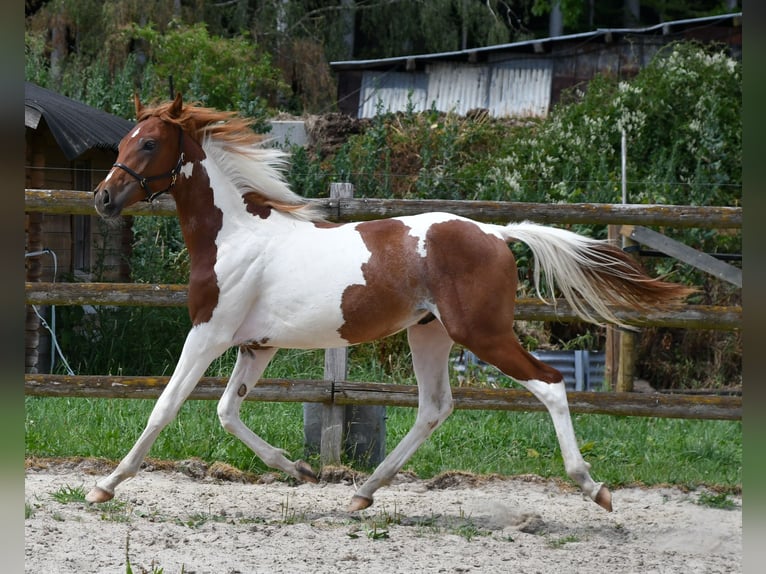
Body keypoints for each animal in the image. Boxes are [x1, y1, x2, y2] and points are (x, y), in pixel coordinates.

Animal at [89, 93, 693, 513]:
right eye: (122, 141)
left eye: (149, 143)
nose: (103, 197)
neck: (235, 236)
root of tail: (496, 233)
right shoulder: (256, 347)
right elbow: (226, 412)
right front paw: (300, 468)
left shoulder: (209, 333)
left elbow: (165, 406)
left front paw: (105, 486)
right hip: (428, 333)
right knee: (434, 407)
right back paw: (364, 492)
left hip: (483, 334)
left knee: (549, 383)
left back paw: (594, 487)